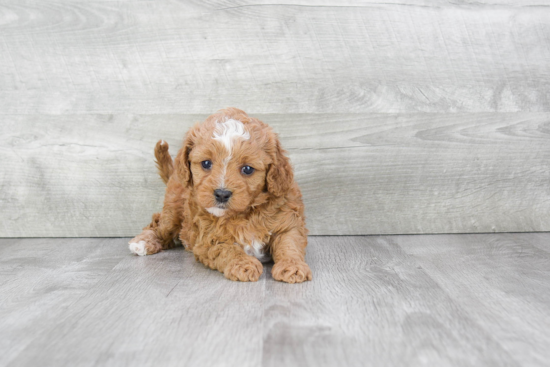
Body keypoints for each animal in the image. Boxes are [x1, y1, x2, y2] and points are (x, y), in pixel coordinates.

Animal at [127, 107, 312, 284]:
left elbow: (289, 244)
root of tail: (174, 173)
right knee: (158, 225)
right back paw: (143, 242)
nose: (222, 194)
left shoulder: (288, 222)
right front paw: (243, 264)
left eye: (247, 169)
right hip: (172, 210)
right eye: (206, 163)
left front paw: (292, 267)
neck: (245, 214)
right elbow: (229, 250)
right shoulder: (209, 239)